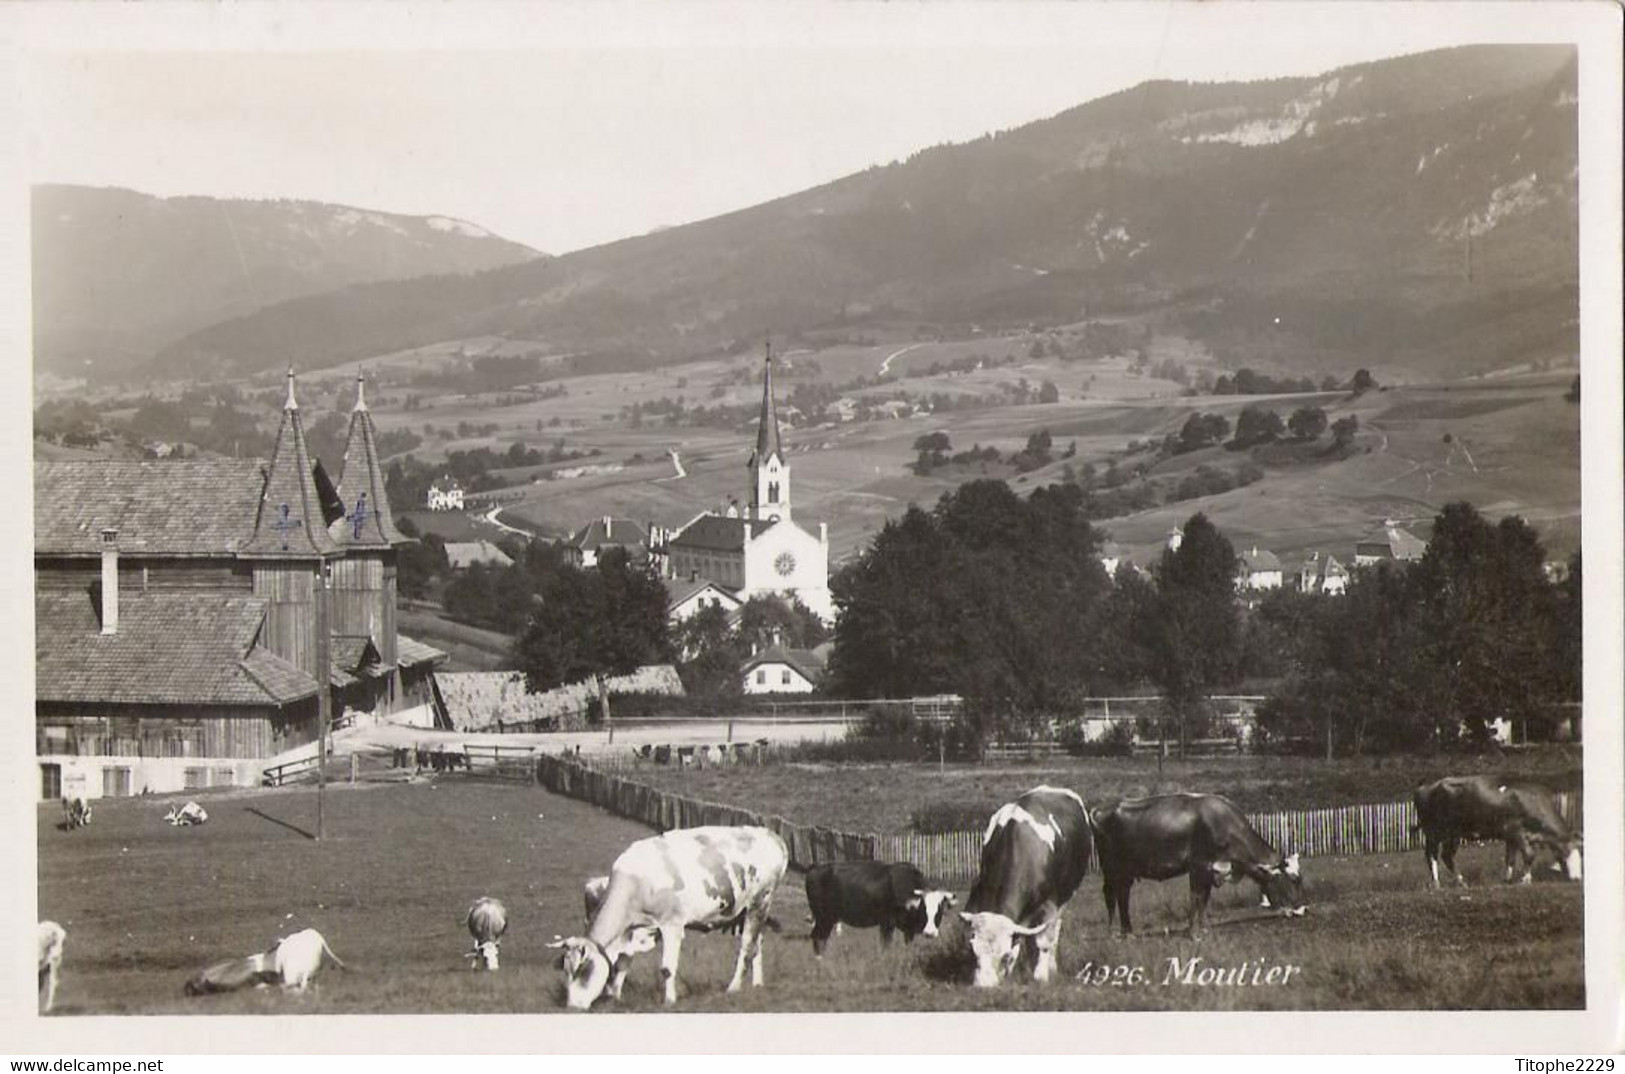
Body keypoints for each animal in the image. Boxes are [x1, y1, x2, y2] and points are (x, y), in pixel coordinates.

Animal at [549, 825, 789, 1007]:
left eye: (583, 969)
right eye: (566, 969)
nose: (572, 1007)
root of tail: (770, 834)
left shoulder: (672, 924)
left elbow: (666, 968)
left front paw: (669, 1001)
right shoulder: (633, 931)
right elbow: (623, 962)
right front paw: (614, 996)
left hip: (760, 901)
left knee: (747, 946)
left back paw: (733, 987)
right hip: (751, 910)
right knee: (757, 945)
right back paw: (757, 984)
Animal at [806, 857, 955, 961]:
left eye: (940, 909)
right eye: (924, 908)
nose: (930, 933)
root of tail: (816, 867)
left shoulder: (908, 929)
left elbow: (908, 944)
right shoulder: (887, 922)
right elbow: (886, 944)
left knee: (821, 937)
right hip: (824, 917)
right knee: (818, 936)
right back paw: (820, 960)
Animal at [949, 783, 1092, 981]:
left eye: (1005, 957)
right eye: (974, 952)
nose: (984, 986)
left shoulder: (1050, 902)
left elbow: (1044, 941)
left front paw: (1040, 975)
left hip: (1065, 895)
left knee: (1055, 928)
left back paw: (1050, 965)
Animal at [1092, 786, 1306, 935]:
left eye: (1300, 879)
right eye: (1291, 879)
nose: (1301, 910)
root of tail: (1102, 808)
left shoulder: (1211, 869)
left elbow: (1204, 898)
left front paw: (1203, 928)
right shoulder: (1198, 865)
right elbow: (1196, 896)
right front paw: (1193, 932)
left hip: (1126, 871)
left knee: (1123, 895)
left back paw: (1128, 931)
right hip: (1111, 867)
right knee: (1110, 894)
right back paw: (1113, 933)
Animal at [1417, 773, 1579, 883]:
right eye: (1567, 853)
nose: (1578, 878)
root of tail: (1425, 786)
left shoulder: (1512, 837)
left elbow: (1510, 858)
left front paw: (1507, 879)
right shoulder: (1516, 831)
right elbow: (1529, 854)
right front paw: (1525, 880)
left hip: (1453, 834)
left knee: (1446, 856)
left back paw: (1461, 882)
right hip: (1435, 831)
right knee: (1431, 855)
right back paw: (1437, 883)